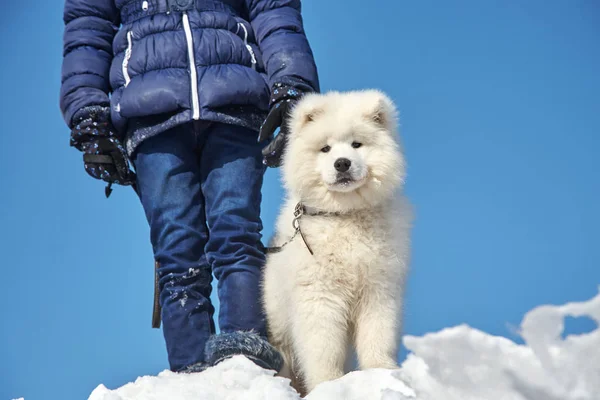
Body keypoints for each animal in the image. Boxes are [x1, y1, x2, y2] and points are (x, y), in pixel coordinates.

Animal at [262, 89, 412, 392]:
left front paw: (382, 372)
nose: (342, 163)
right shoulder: (319, 293)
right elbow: (323, 346)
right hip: (279, 325)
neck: (345, 215)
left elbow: (378, 335)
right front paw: (327, 383)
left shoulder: (379, 288)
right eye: (326, 149)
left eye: (357, 144)